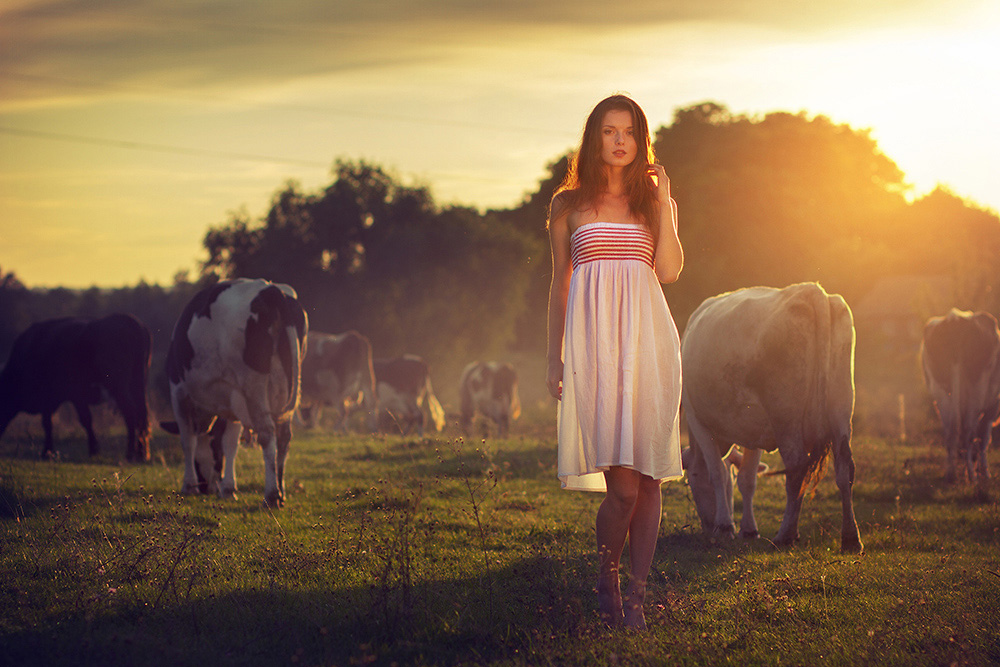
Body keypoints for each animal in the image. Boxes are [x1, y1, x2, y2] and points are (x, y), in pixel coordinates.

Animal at [0, 314, 150, 462]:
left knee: (130, 412)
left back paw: (130, 454)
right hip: (138, 384)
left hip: (118, 385)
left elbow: (66, 422)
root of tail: (128, 319)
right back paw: (141, 454)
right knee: (142, 413)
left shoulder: (69, 395)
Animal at [164, 276, 306, 506]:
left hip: (253, 385)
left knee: (267, 432)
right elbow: (230, 443)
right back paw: (281, 491)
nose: (206, 488)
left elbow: (188, 441)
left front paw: (189, 485)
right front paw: (228, 488)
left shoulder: (178, 390)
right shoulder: (234, 397)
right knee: (284, 436)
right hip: (285, 384)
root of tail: (271, 289)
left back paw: (271, 495)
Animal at [684, 284, 864, 552]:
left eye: (692, 479)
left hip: (785, 417)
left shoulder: (698, 422)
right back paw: (851, 538)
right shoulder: (752, 428)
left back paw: (785, 535)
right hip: (841, 409)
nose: (707, 527)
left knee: (796, 469)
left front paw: (725, 526)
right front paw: (748, 530)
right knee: (845, 469)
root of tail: (810, 291)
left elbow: (717, 472)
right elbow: (747, 479)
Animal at [920, 308, 1000, 486]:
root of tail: (955, 320)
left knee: (950, 429)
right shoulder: (993, 406)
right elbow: (984, 437)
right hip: (977, 387)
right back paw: (971, 476)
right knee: (967, 431)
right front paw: (985, 473)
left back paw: (951, 474)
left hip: (941, 390)